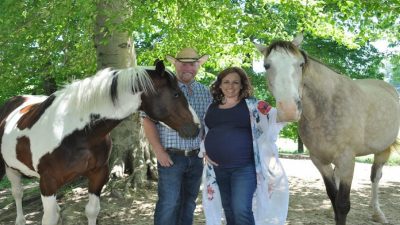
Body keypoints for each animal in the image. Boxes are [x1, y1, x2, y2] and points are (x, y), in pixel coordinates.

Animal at [0, 59, 200, 225]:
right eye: (176, 94)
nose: (197, 127)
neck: (73, 131)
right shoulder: (48, 182)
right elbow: (48, 218)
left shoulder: (98, 174)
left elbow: (91, 211)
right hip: (10, 169)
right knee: (17, 194)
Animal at [258, 33, 400, 225]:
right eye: (267, 65)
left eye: (300, 64)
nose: (289, 109)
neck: (326, 106)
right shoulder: (319, 160)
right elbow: (333, 196)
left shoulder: (347, 160)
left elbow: (343, 204)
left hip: (383, 150)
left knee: (375, 177)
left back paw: (377, 213)